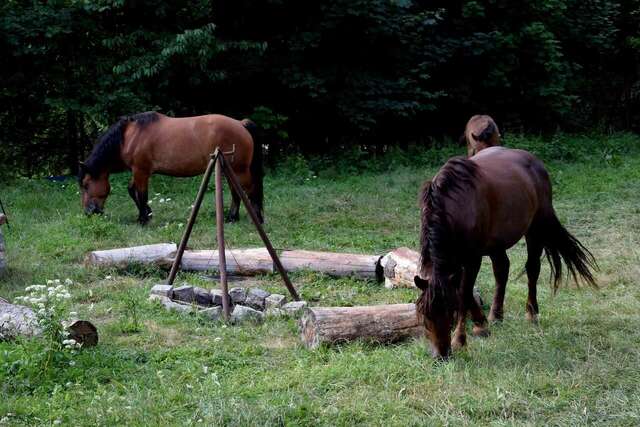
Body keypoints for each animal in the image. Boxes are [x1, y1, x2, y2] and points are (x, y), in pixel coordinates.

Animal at [79, 112, 264, 226]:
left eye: (86, 185)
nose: (89, 212)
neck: (130, 136)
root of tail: (240, 123)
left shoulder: (141, 172)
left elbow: (142, 194)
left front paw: (144, 219)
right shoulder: (137, 171)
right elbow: (132, 190)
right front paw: (146, 214)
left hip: (239, 170)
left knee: (250, 190)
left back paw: (258, 220)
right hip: (229, 168)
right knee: (236, 192)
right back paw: (232, 218)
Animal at [412, 147, 596, 362]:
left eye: (450, 313)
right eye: (424, 317)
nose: (441, 355)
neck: (454, 207)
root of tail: (535, 162)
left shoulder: (472, 259)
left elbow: (463, 294)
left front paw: (460, 339)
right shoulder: (455, 261)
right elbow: (463, 291)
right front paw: (481, 325)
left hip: (535, 228)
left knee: (532, 269)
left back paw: (531, 314)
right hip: (496, 244)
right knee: (502, 271)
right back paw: (496, 316)